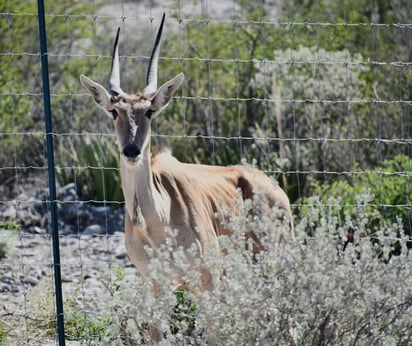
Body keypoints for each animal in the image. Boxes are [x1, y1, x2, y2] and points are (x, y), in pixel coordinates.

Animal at [79, 14, 292, 292]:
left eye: (150, 111)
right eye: (114, 111)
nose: (132, 151)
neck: (156, 221)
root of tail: (277, 191)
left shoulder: (206, 280)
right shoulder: (155, 285)